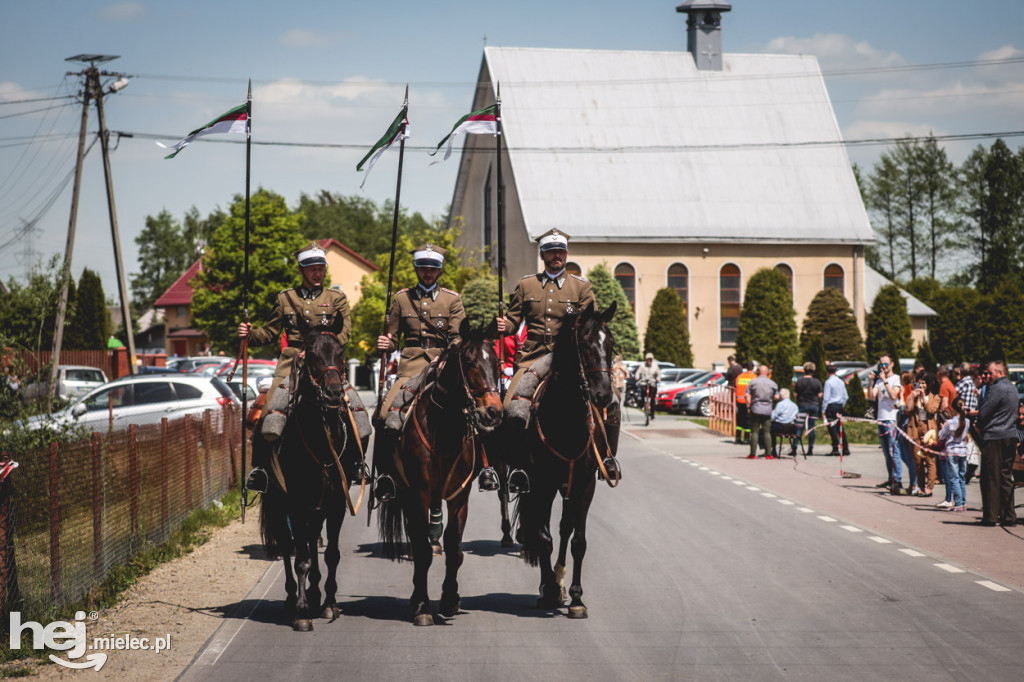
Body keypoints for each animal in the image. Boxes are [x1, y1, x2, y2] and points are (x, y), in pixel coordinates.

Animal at [258, 321, 370, 630]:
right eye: (311, 355)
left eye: (340, 353)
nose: (333, 394)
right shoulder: (295, 504)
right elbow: (301, 559)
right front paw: (302, 611)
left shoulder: (336, 504)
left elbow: (330, 554)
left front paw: (329, 603)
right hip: (279, 502)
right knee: (288, 547)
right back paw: (291, 597)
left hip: (316, 508)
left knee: (310, 540)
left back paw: (316, 592)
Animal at [376, 317, 503, 622]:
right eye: (468, 362)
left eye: (496, 361)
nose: (493, 413)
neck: (445, 428)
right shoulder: (419, 494)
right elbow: (421, 550)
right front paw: (423, 606)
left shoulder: (459, 496)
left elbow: (455, 548)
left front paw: (449, 600)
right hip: (407, 494)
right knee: (416, 539)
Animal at [516, 301, 618, 614]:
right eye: (584, 344)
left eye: (611, 343)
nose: (603, 395)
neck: (566, 418)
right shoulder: (541, 484)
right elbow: (544, 538)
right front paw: (549, 589)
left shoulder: (585, 484)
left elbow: (578, 540)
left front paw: (575, 596)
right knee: (544, 530)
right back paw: (549, 585)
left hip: (568, 486)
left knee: (564, 528)